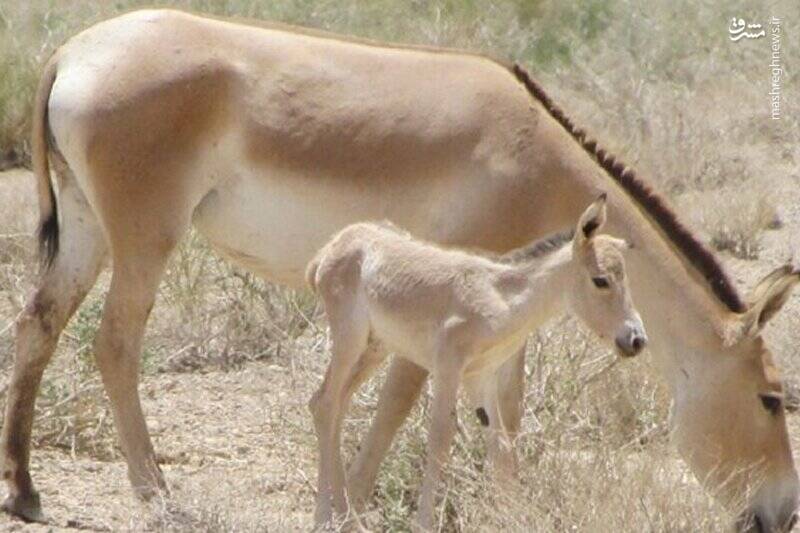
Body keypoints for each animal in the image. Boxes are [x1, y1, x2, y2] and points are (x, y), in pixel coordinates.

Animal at [304, 195, 644, 528]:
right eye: (601, 280)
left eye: (625, 277)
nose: (637, 340)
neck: (502, 299)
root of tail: (331, 248)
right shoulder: (447, 367)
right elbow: (441, 438)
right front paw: (424, 523)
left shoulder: (480, 376)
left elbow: (501, 450)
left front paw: (515, 519)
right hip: (349, 338)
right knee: (325, 404)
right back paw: (323, 517)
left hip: (375, 348)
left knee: (336, 404)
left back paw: (345, 514)